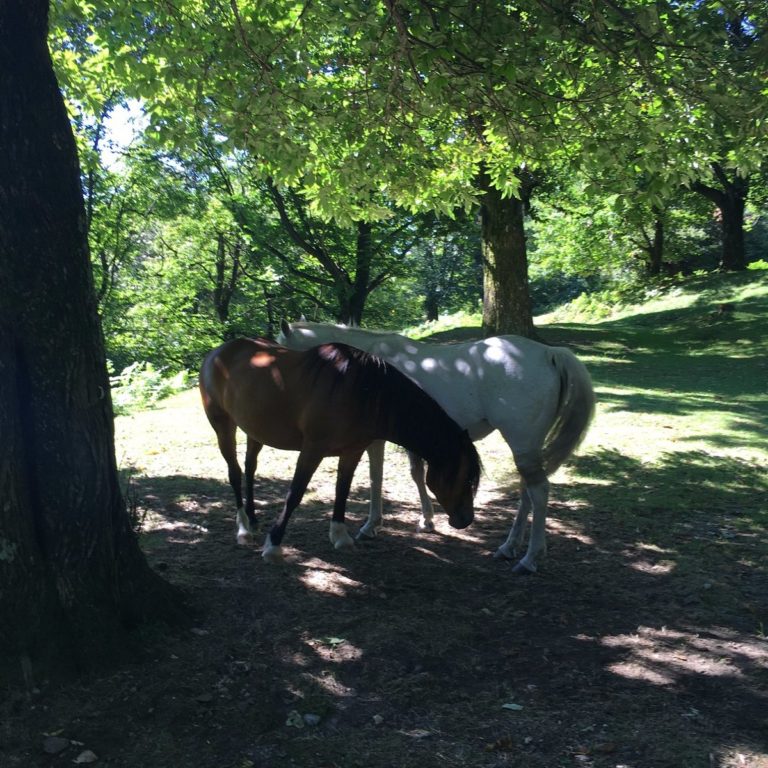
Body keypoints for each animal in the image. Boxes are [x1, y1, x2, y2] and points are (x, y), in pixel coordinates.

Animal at [199, 337, 481, 562]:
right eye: (467, 478)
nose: (466, 519)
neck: (363, 392)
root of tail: (217, 353)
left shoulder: (352, 452)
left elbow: (342, 490)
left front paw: (340, 536)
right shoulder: (312, 450)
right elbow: (295, 493)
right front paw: (274, 546)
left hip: (255, 430)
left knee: (250, 468)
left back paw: (253, 520)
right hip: (222, 425)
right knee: (234, 472)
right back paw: (244, 529)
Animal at [278, 321, 595, 574]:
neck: (368, 362)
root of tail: (548, 353)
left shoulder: (376, 440)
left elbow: (375, 476)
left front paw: (371, 526)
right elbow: (417, 474)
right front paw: (426, 520)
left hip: (522, 444)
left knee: (538, 492)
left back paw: (529, 559)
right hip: (527, 447)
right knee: (527, 492)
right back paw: (509, 547)